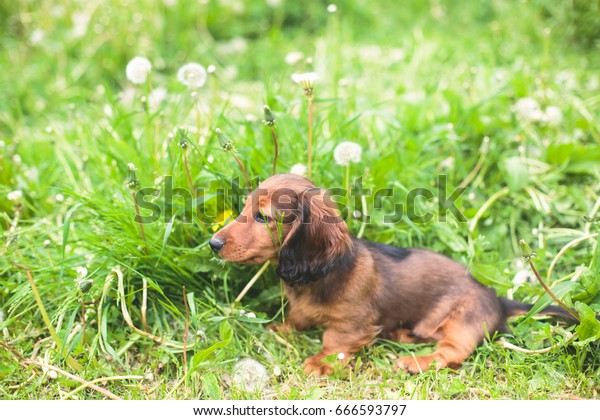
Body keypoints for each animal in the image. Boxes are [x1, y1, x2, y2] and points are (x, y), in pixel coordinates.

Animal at [210, 173, 572, 374]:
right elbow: (298, 318)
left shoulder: (352, 323)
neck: (321, 274)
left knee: (451, 353)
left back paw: (415, 362)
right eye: (243, 209)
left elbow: (335, 341)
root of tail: (496, 297)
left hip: (464, 321)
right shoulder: (303, 307)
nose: (213, 243)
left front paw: (323, 362)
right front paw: (282, 329)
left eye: (263, 217)